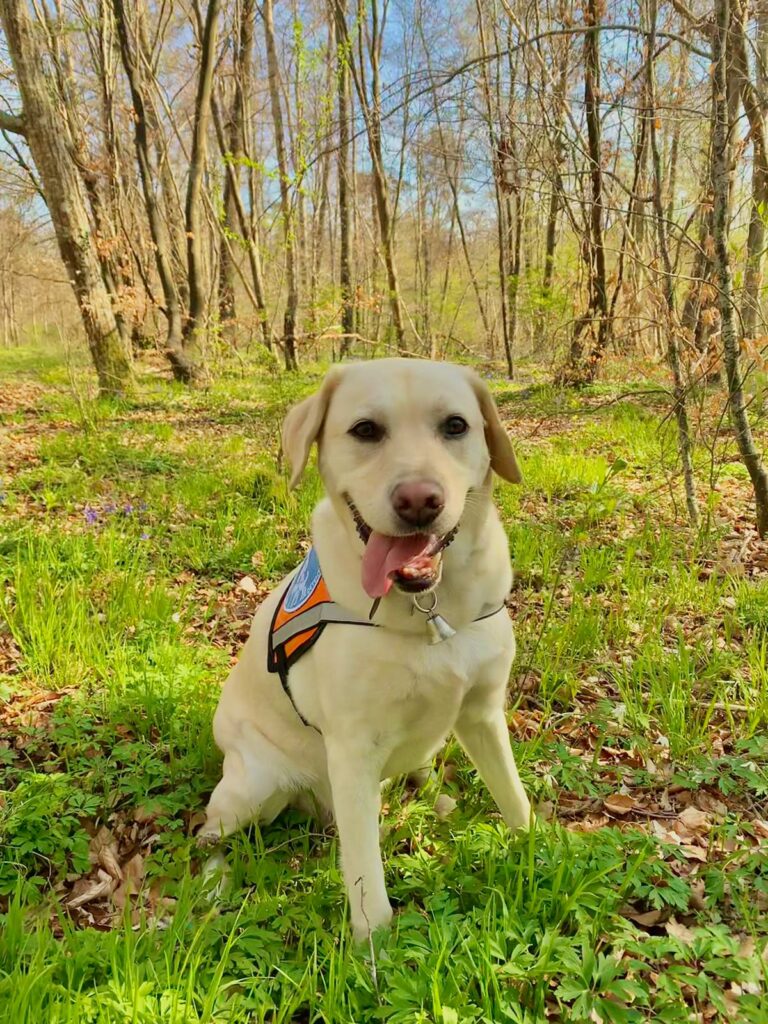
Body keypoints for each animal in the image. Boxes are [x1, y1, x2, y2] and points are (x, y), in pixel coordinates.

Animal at [201, 358, 532, 937]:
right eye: (365, 430)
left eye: (456, 426)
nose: (419, 501)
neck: (431, 615)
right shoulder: (354, 750)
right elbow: (365, 879)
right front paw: (374, 949)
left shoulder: (483, 714)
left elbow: (514, 795)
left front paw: (543, 848)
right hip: (252, 787)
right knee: (206, 834)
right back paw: (212, 883)